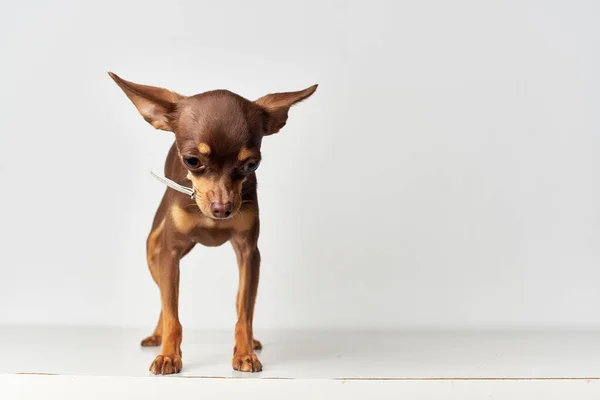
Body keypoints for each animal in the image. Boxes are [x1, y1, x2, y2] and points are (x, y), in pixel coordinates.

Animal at [108, 72, 318, 376]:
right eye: (192, 161)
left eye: (252, 165)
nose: (222, 209)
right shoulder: (170, 252)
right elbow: (172, 311)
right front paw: (169, 355)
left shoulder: (248, 252)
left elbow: (244, 309)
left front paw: (244, 352)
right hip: (153, 249)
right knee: (163, 297)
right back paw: (158, 335)